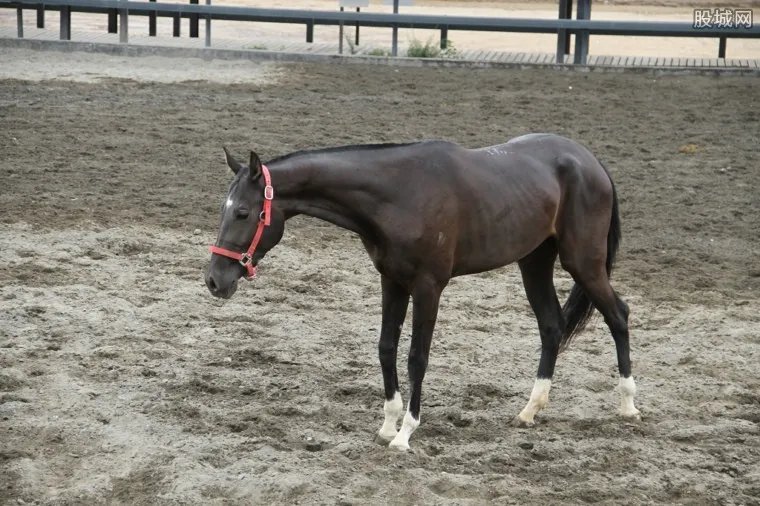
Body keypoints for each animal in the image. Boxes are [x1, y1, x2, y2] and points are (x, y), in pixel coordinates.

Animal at [205, 133, 641, 452]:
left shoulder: (429, 286)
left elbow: (417, 357)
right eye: (223, 209)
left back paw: (628, 405)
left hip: (583, 263)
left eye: (243, 212)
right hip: (533, 262)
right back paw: (529, 410)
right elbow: (386, 347)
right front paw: (387, 423)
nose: (214, 280)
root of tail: (590, 161)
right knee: (552, 326)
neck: (400, 193)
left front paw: (405, 433)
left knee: (618, 314)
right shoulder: (392, 280)